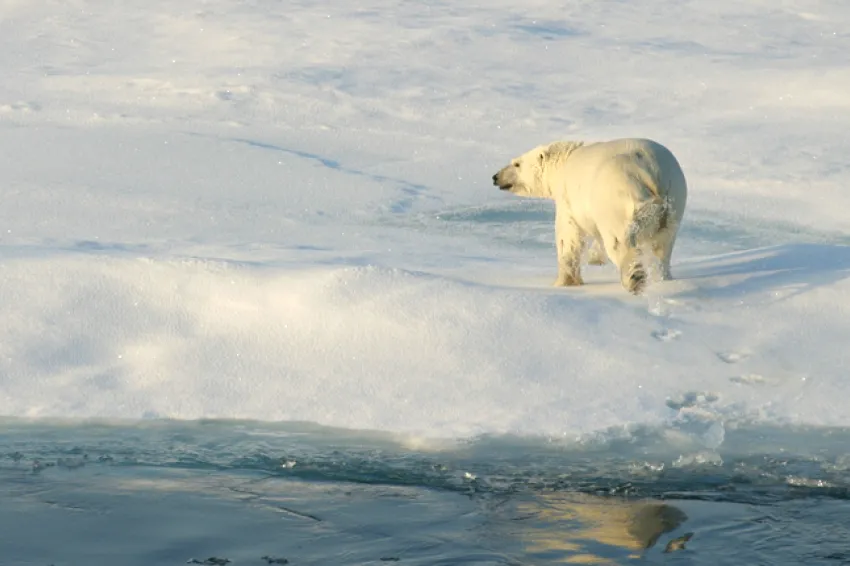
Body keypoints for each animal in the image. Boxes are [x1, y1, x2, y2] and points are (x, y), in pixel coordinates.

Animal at [494, 139, 684, 296]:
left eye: (516, 163)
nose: (495, 177)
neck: (565, 160)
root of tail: (651, 170)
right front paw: (595, 259)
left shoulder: (568, 199)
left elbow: (568, 237)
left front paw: (563, 282)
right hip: (674, 201)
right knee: (663, 246)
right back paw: (663, 278)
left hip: (616, 196)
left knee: (618, 241)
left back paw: (634, 279)